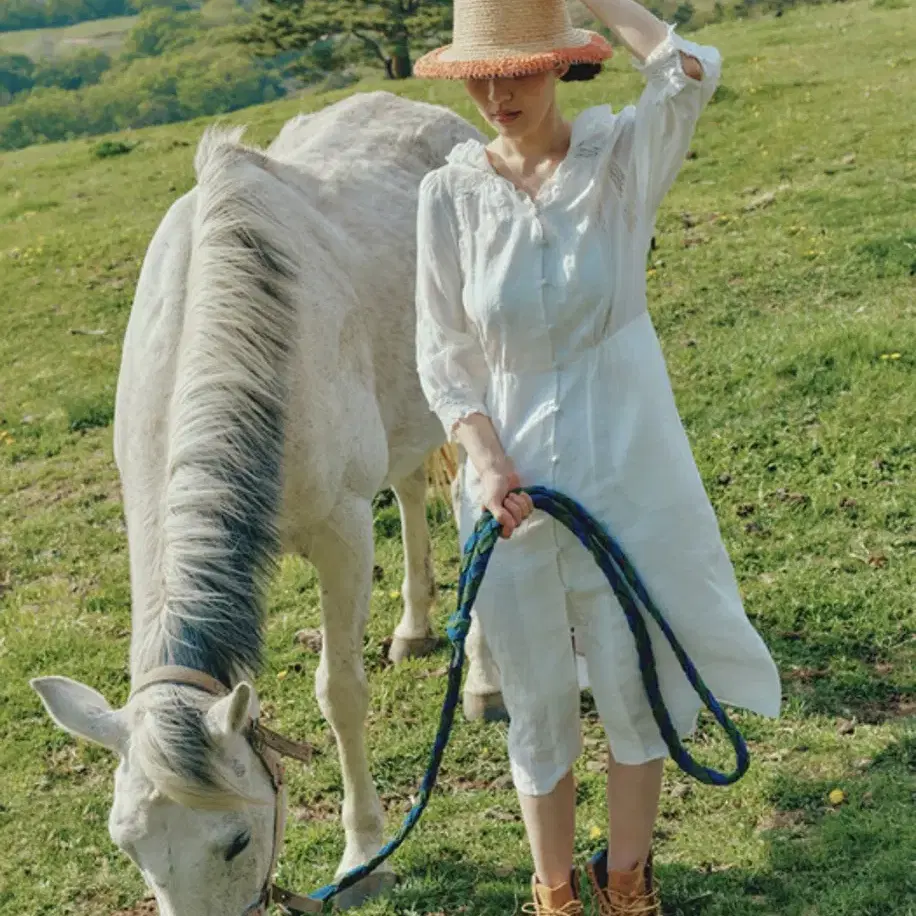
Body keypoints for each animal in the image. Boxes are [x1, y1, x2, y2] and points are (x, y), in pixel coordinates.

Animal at [30, 91, 500, 916]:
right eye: (129, 848)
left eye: (237, 841)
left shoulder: (344, 531)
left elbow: (340, 692)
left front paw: (366, 855)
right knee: (411, 488)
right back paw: (413, 628)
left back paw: (480, 678)